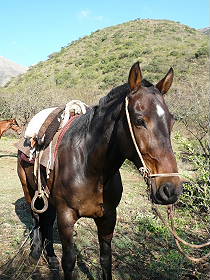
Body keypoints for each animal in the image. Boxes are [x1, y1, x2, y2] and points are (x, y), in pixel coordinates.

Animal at [17, 62, 183, 278]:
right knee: (36, 218)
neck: (90, 168)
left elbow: (106, 259)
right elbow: (69, 261)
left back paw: (51, 257)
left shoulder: (108, 217)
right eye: (139, 120)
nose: (170, 189)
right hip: (29, 189)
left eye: (171, 121)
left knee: (46, 221)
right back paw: (36, 252)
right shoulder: (66, 216)